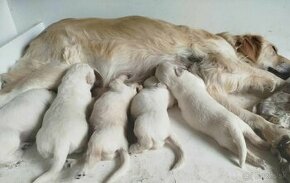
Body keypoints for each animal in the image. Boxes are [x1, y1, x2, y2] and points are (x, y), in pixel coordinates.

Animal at [0, 15, 290, 159]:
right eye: (275, 49)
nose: (287, 63)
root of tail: (39, 35)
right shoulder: (226, 63)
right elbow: (269, 79)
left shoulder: (212, 85)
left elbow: (249, 116)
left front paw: (275, 135)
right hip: (53, 68)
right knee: (6, 93)